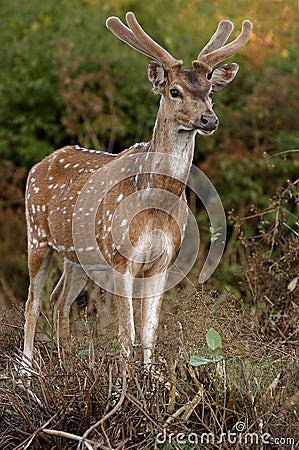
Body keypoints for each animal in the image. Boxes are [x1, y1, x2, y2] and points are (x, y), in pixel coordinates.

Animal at [22, 12, 253, 370]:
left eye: (210, 91)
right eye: (174, 91)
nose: (209, 119)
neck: (155, 205)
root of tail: (39, 164)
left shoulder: (163, 260)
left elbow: (149, 331)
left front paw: (150, 378)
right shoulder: (121, 257)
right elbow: (126, 333)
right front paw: (125, 381)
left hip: (79, 258)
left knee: (59, 300)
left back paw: (64, 362)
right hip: (36, 235)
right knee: (32, 303)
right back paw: (26, 373)